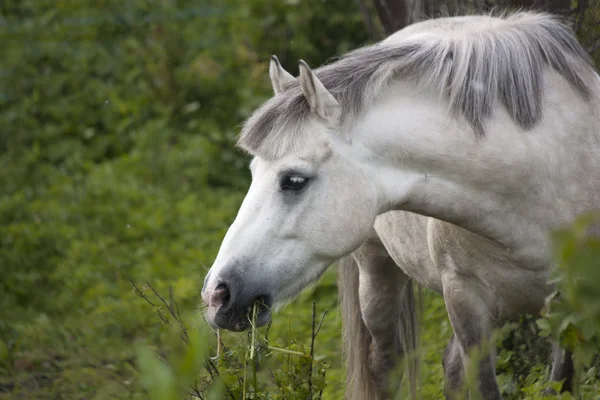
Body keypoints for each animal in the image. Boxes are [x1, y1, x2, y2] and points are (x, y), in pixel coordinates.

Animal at [203, 12, 600, 400]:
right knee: (387, 366)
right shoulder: (465, 298)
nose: (216, 294)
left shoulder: (573, 305)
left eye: (294, 180)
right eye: (253, 172)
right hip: (377, 274)